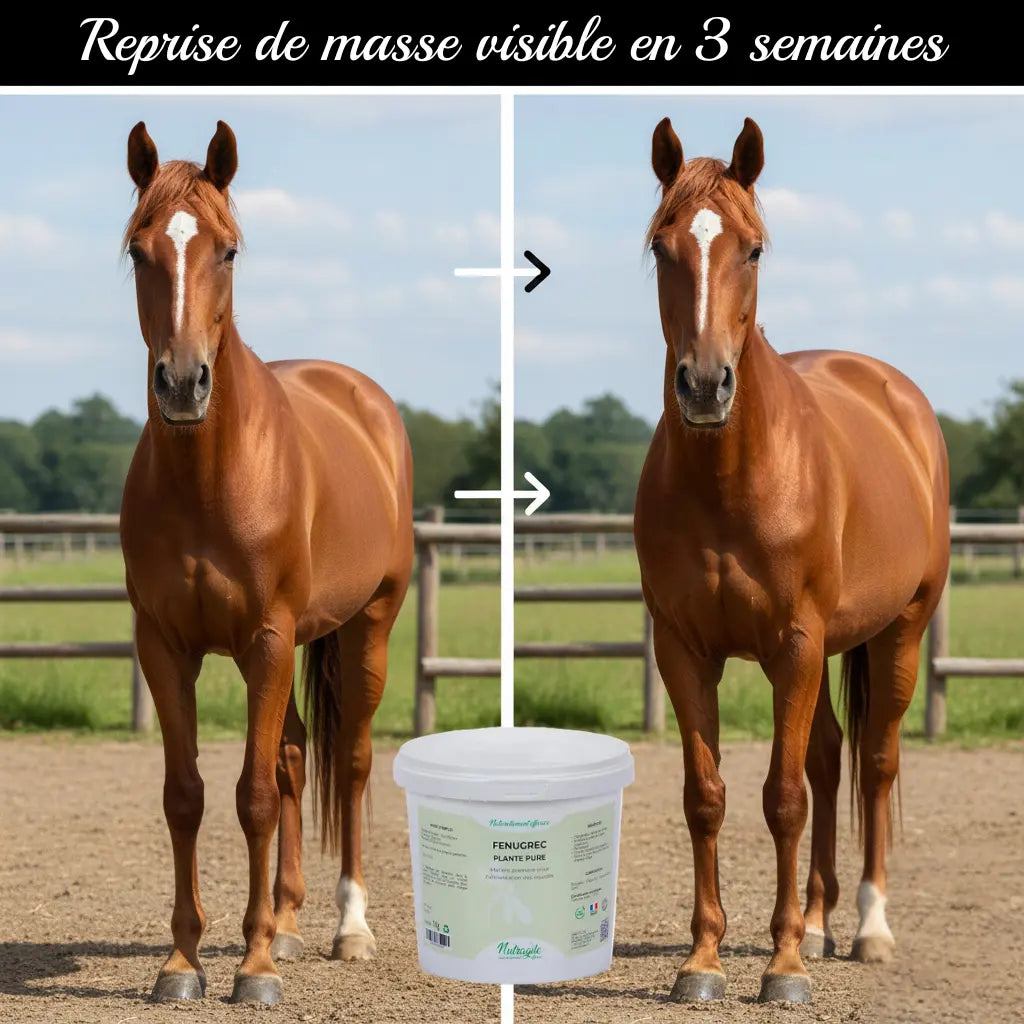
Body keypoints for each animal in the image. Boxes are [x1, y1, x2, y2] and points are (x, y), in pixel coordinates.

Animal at [118, 121, 414, 1005]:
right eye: (139, 249)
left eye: (228, 250)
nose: (183, 382)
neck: (210, 478)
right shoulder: (165, 647)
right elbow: (186, 797)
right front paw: (183, 962)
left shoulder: (267, 640)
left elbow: (249, 795)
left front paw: (251, 969)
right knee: (292, 753)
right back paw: (283, 920)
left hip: (366, 627)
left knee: (349, 761)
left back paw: (347, 928)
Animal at [634, 116, 950, 1004]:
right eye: (662, 245)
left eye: (753, 249)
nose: (706, 386)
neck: (732, 479)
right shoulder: (684, 650)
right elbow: (706, 797)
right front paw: (704, 959)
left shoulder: (796, 647)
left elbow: (782, 798)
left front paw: (781, 969)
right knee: (832, 758)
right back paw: (815, 921)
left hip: (898, 632)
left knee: (874, 761)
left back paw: (868, 928)